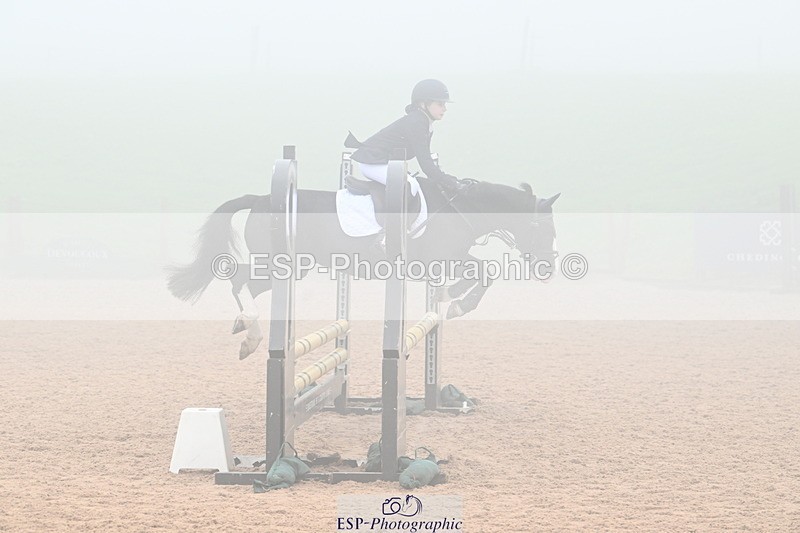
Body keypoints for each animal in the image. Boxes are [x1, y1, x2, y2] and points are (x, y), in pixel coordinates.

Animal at [167, 177, 560, 358]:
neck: (461, 209)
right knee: (239, 281)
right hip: (279, 264)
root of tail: (262, 198)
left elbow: (480, 272)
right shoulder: (440, 258)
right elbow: (484, 272)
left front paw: (448, 297)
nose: (548, 269)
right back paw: (250, 335)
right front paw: (457, 301)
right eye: (546, 229)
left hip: (292, 269)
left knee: (242, 282)